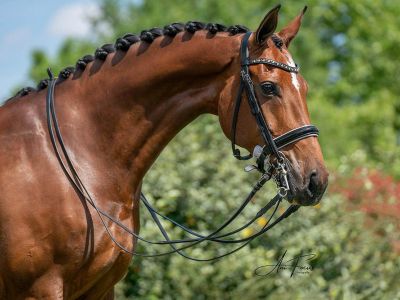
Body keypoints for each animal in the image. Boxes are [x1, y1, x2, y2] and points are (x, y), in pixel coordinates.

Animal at [0, 5, 328, 300]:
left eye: (305, 88)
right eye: (269, 87)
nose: (317, 180)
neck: (78, 152)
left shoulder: (102, 288)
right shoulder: (39, 288)